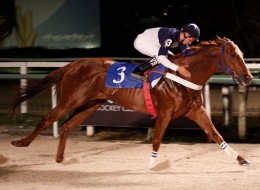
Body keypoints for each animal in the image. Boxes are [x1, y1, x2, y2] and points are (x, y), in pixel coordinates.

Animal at [11, 36, 252, 168]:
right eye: (233, 55)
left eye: (241, 54)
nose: (248, 77)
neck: (184, 75)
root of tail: (72, 65)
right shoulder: (165, 113)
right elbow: (156, 140)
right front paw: (152, 165)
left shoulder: (196, 110)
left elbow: (216, 135)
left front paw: (241, 158)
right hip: (70, 100)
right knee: (47, 118)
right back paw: (21, 142)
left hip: (91, 104)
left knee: (67, 126)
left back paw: (60, 158)